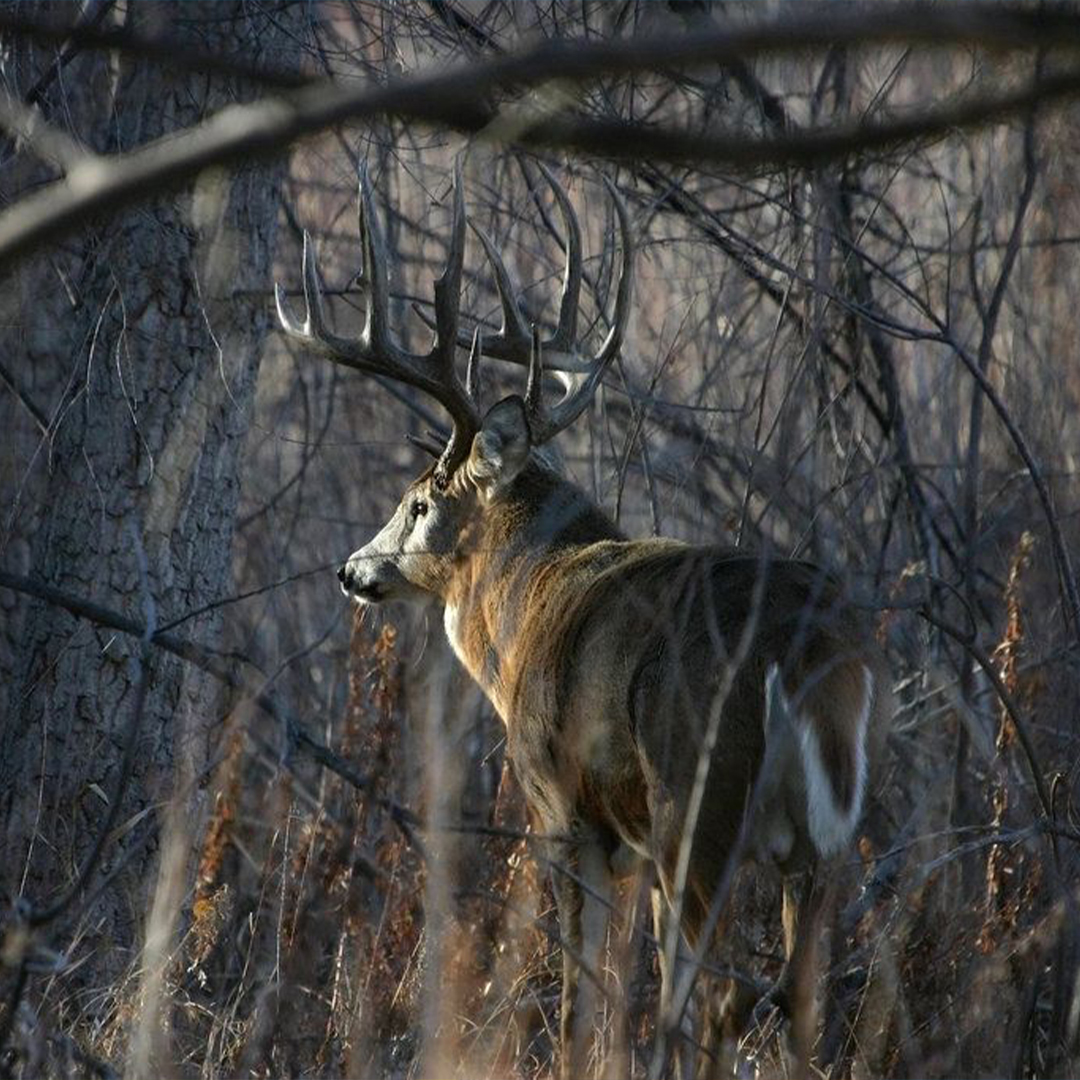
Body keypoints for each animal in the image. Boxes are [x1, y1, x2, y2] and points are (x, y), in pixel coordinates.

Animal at [276, 162, 885, 1080]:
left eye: (417, 502)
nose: (352, 569)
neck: (520, 607)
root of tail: (810, 653)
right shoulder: (635, 849)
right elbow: (636, 1004)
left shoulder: (563, 811)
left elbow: (580, 1005)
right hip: (818, 845)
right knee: (798, 998)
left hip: (696, 805)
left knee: (721, 997)